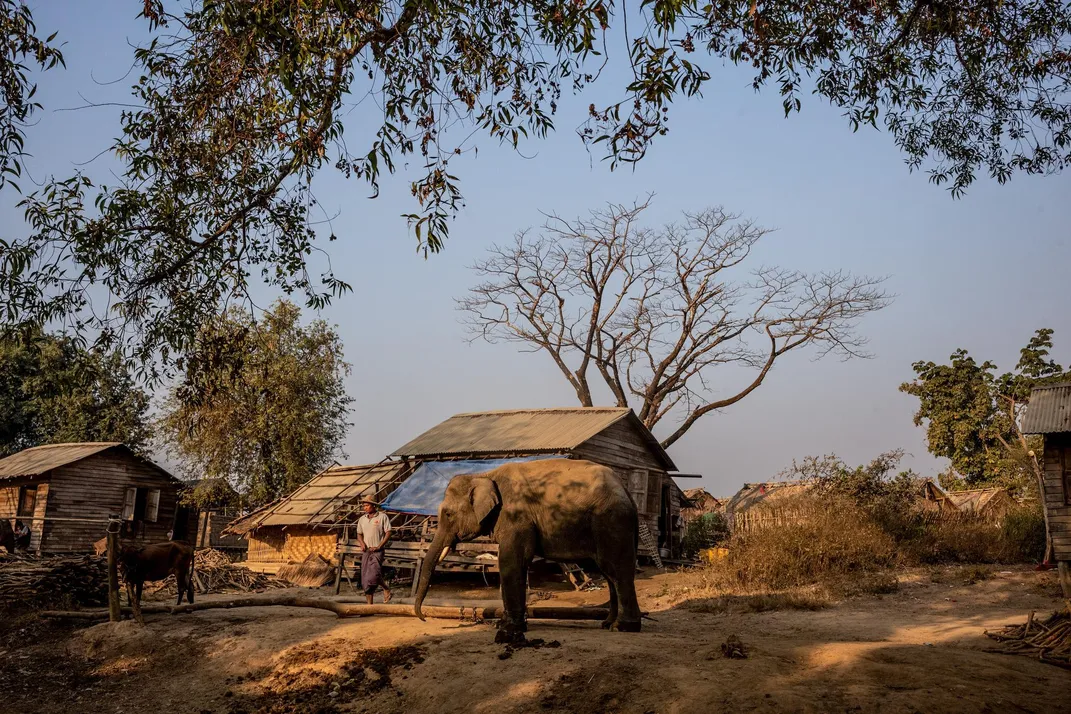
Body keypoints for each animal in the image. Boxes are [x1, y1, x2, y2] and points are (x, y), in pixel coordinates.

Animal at [413, 460, 638, 637]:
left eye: (448, 514)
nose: (424, 618)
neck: (484, 476)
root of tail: (626, 490)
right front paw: (503, 624)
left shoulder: (517, 518)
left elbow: (511, 561)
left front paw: (509, 629)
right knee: (609, 574)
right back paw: (607, 624)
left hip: (612, 521)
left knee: (616, 570)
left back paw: (622, 627)